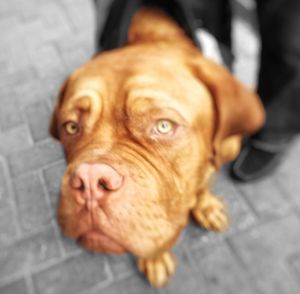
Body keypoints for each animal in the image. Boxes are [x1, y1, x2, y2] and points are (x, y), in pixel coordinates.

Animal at [49, 6, 264, 288]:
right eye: (71, 127)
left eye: (163, 126)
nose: (90, 181)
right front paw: (154, 258)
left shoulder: (223, 149)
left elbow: (204, 182)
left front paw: (205, 205)